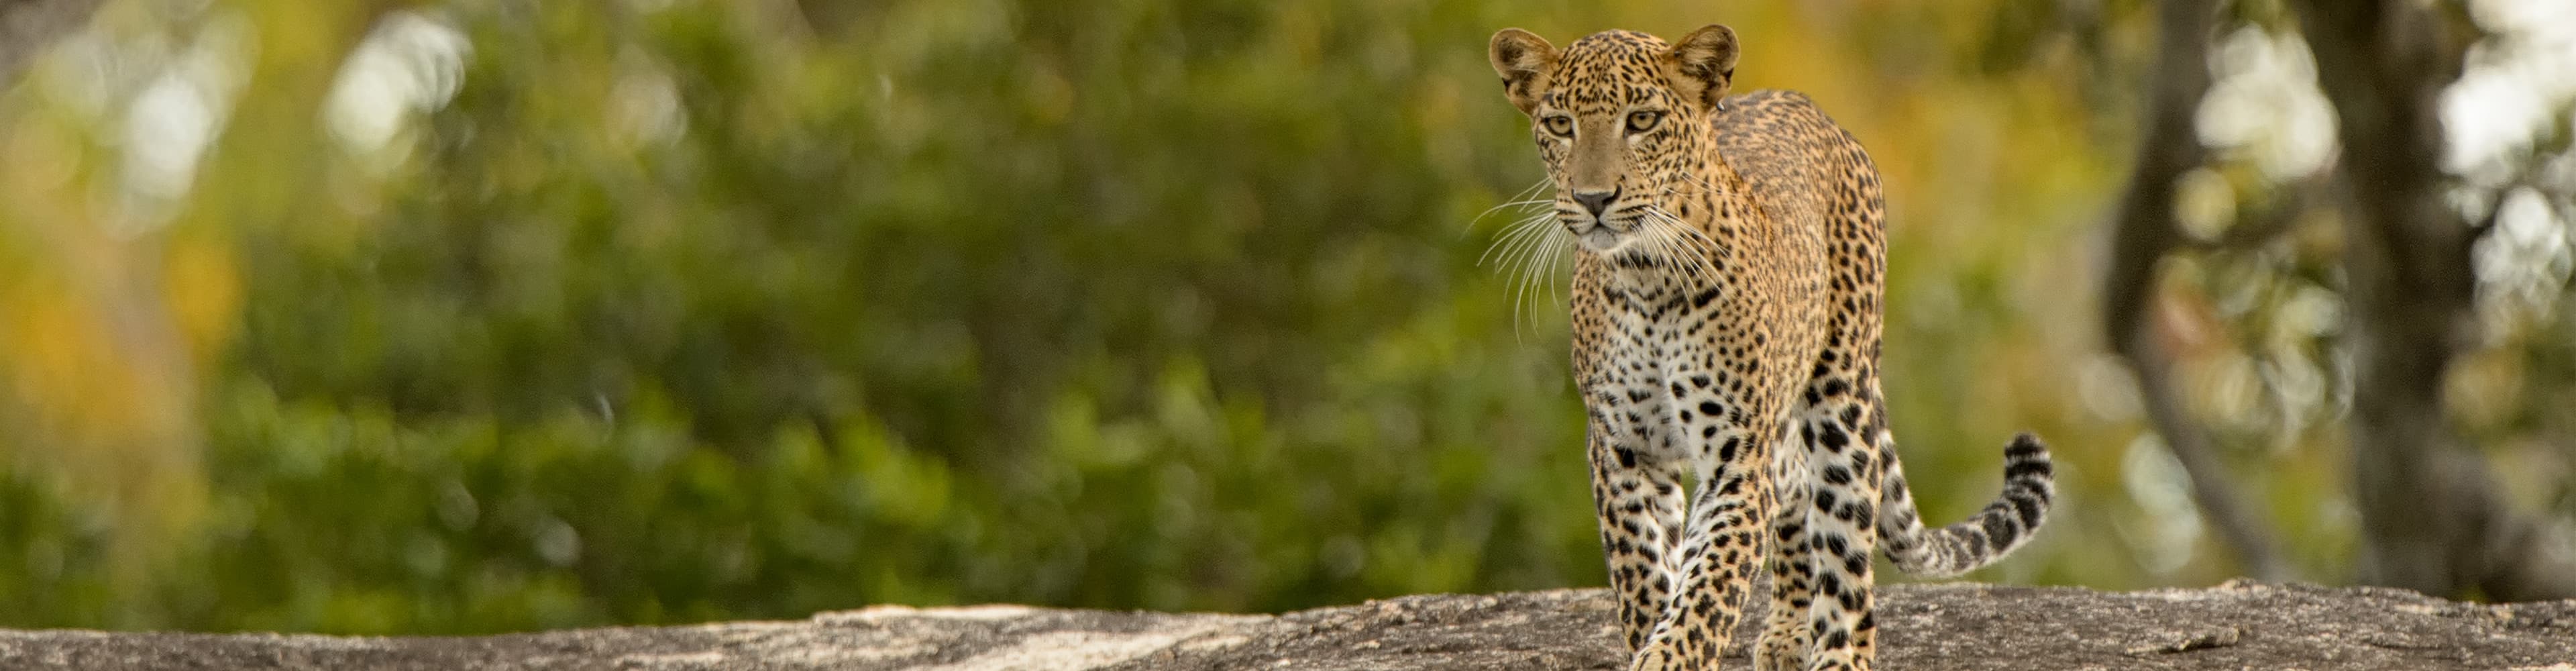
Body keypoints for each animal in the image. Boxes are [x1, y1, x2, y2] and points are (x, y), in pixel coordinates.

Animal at [1484, 25, 2057, 671]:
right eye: (1561, 125)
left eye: (1642, 120)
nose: (1593, 198)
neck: (1645, 276)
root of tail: (1805, 104)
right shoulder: (1623, 449)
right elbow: (1643, 574)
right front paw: (1651, 633)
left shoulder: (1736, 453)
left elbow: (1709, 586)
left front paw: (1673, 652)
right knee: (1797, 485)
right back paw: (1786, 632)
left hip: (1842, 392)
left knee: (1845, 539)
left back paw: (1837, 650)